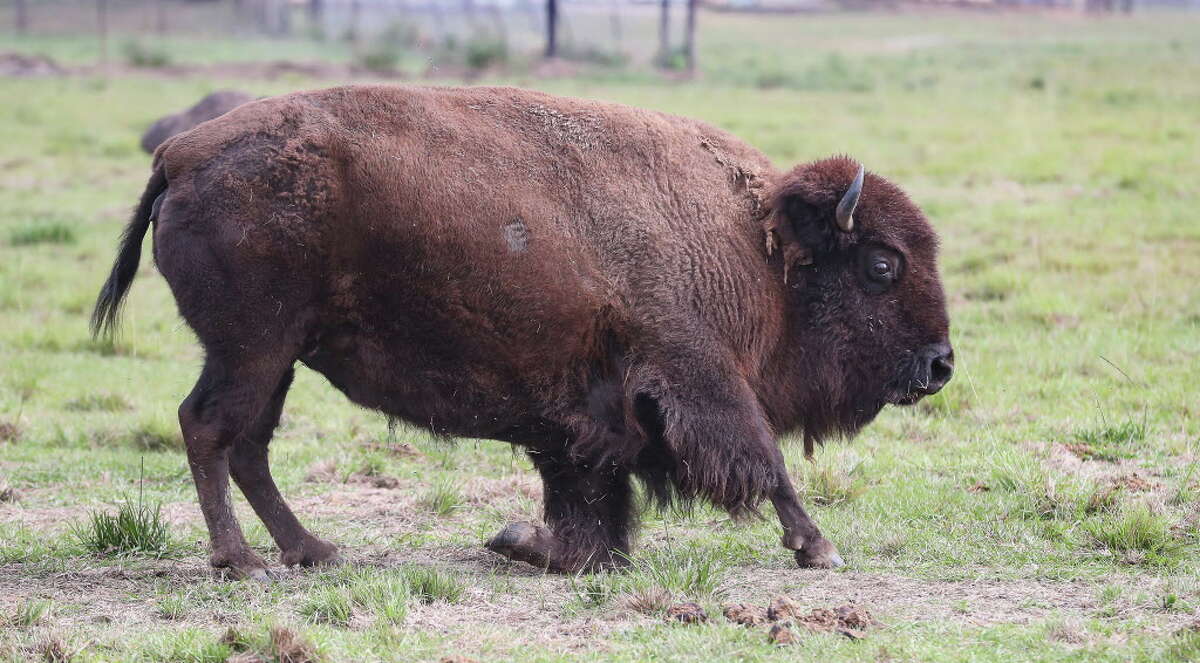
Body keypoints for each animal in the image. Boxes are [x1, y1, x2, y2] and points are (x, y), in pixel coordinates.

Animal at [93, 84, 955, 581]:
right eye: (883, 264)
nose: (941, 363)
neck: (757, 243)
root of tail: (181, 152)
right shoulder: (701, 377)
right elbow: (766, 465)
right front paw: (820, 547)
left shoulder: (590, 417)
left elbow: (589, 495)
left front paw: (527, 543)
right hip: (252, 349)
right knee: (209, 428)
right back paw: (242, 562)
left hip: (275, 358)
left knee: (247, 443)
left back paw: (313, 550)